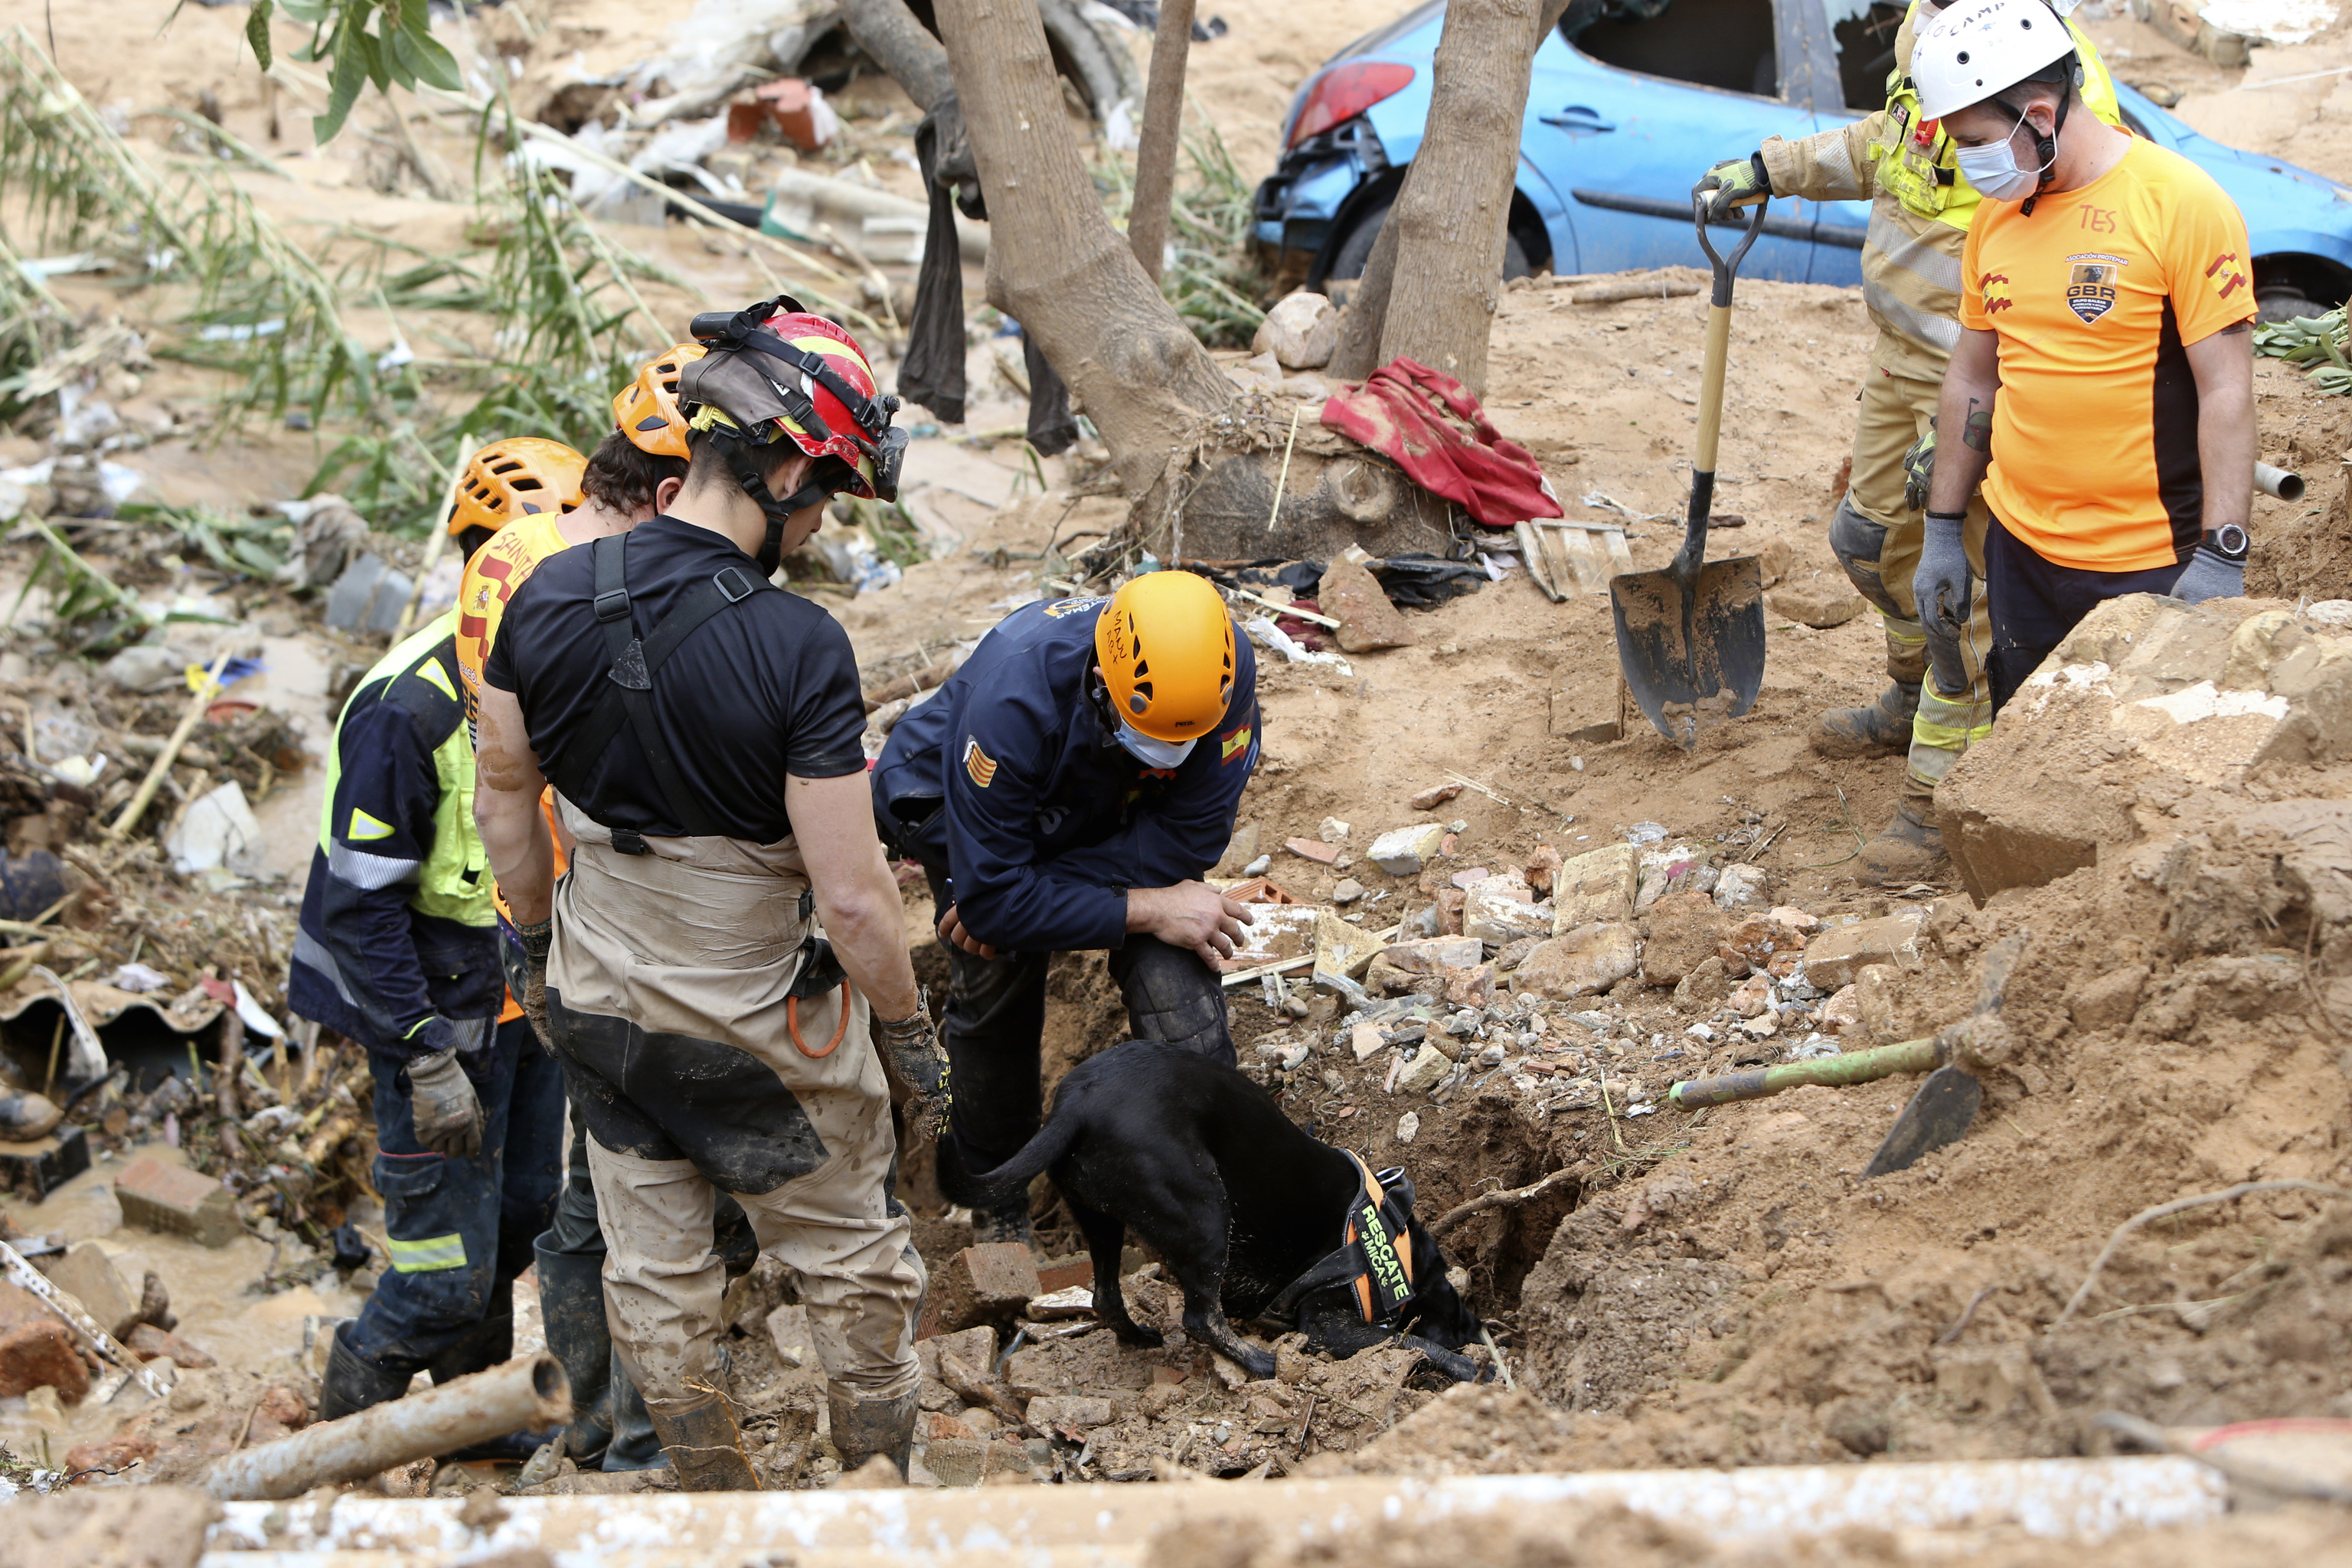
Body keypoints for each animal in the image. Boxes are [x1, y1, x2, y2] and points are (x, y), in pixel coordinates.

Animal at [964, 1048, 1477, 1382]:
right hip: (1205, 1208)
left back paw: (1139, 1338)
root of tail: (1074, 1105)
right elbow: (1404, 1340)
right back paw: (1260, 1363)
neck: (1395, 1242)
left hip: (1099, 1217)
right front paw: (1468, 1365)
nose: (1475, 1329)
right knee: (1199, 1318)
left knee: (1106, 1298)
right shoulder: (1326, 1323)